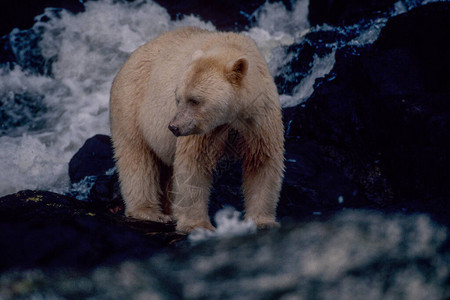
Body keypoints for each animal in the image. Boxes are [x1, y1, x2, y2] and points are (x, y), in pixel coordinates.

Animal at [109, 27, 284, 233]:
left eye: (194, 100)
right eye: (177, 98)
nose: (173, 127)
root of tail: (129, 59)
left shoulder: (258, 119)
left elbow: (262, 163)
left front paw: (262, 221)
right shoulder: (203, 132)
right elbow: (194, 165)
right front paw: (197, 225)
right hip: (131, 106)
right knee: (137, 158)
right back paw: (150, 212)